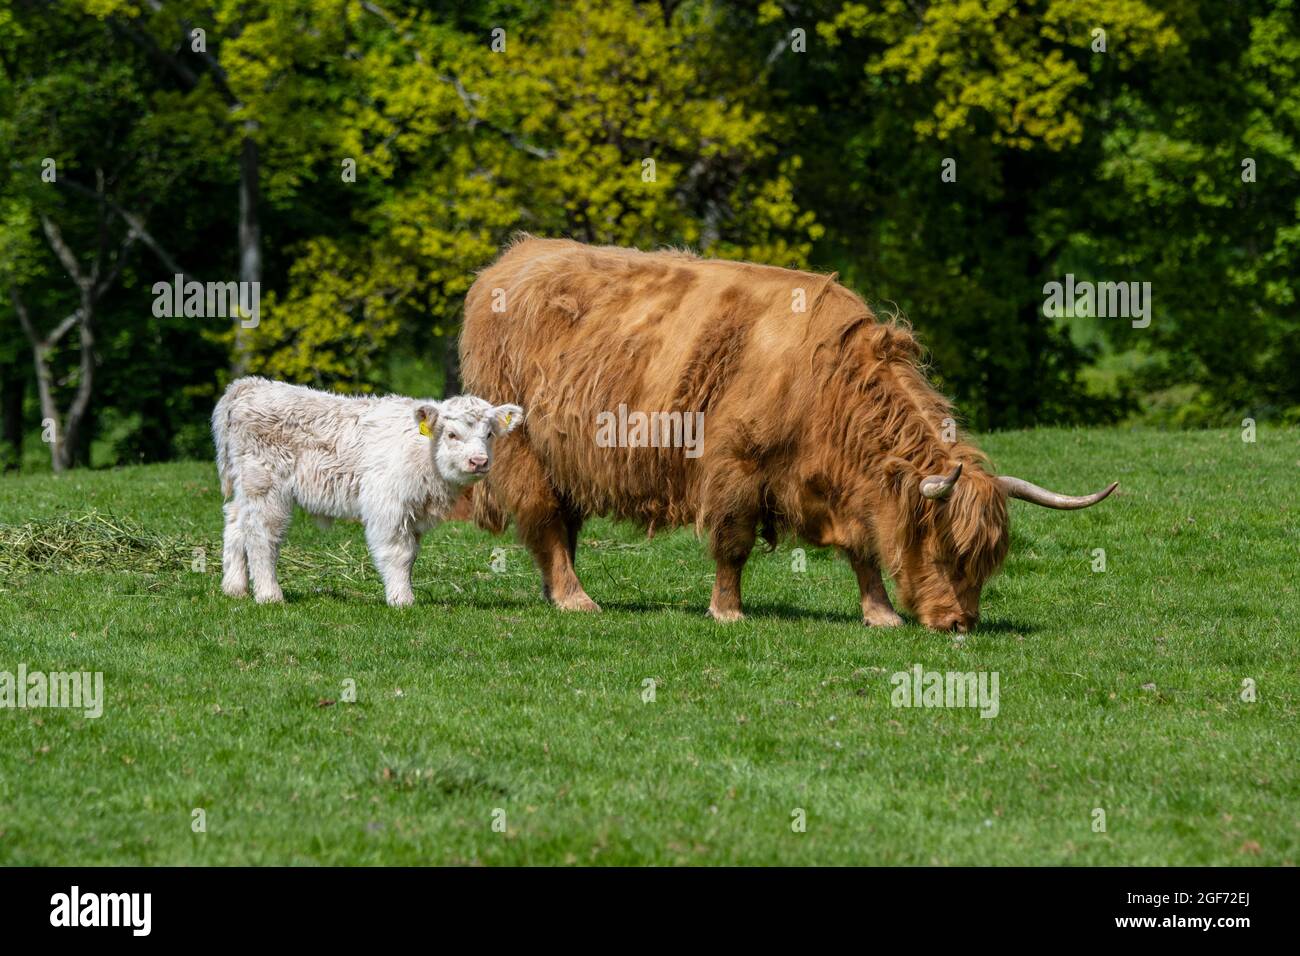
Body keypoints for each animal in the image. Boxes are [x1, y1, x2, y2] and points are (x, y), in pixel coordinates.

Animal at [212, 377, 523, 605]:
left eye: (489, 434)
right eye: (452, 434)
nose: (479, 461)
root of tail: (250, 385)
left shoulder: (415, 513)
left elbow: (412, 556)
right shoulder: (389, 506)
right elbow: (399, 553)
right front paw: (402, 600)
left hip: (247, 486)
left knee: (235, 522)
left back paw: (235, 588)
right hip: (266, 486)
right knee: (262, 536)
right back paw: (269, 595)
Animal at [459, 236, 1116, 632]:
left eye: (987, 560)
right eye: (946, 550)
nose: (960, 624)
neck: (828, 386)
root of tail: (516, 257)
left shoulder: (844, 484)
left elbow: (863, 550)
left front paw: (879, 613)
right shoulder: (734, 466)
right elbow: (733, 544)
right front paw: (728, 611)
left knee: (561, 522)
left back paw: (558, 592)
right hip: (523, 446)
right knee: (545, 519)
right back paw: (576, 597)